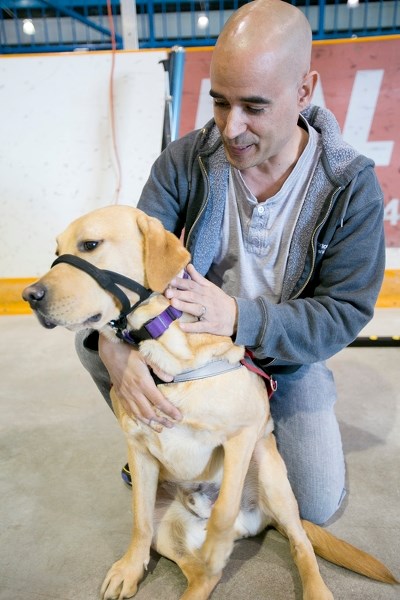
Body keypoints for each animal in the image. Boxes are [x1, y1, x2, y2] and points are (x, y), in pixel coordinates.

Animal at [22, 206, 396, 600]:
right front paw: (129, 567)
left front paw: (217, 545)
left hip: (271, 473)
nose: (29, 295)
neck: (165, 350)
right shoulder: (138, 450)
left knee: (299, 544)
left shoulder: (241, 436)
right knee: (202, 575)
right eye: (58, 249)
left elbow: (225, 507)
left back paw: (309, 586)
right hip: (167, 529)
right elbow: (138, 521)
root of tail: (255, 524)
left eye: (90, 245)